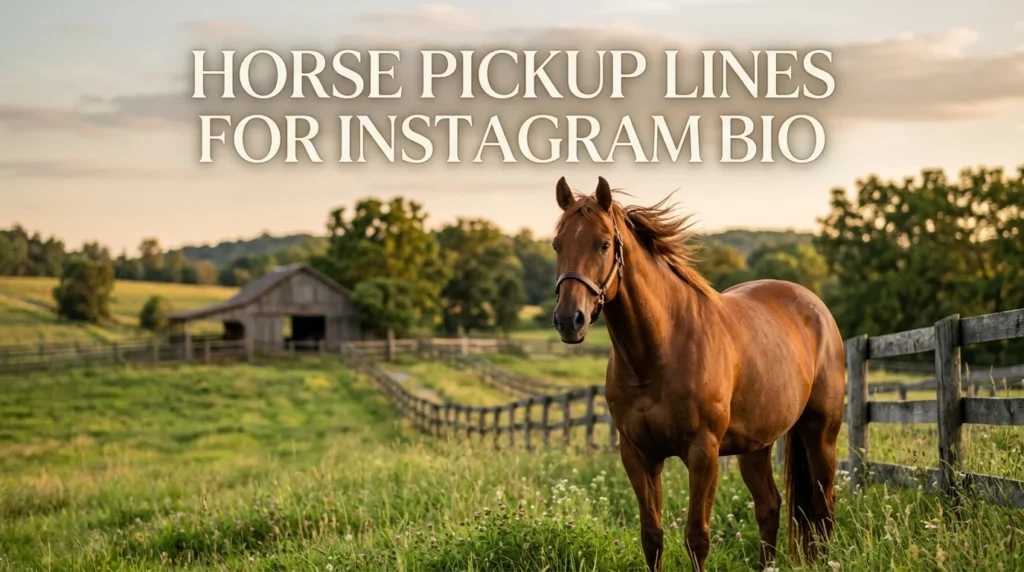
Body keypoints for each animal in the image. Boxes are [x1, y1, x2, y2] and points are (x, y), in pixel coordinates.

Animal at [550, 176, 846, 571]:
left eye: (604, 244)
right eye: (557, 244)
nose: (570, 320)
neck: (659, 351)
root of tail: (816, 307)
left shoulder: (702, 452)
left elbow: (696, 538)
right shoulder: (638, 454)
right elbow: (652, 537)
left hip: (820, 434)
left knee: (823, 506)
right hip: (756, 447)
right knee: (770, 507)